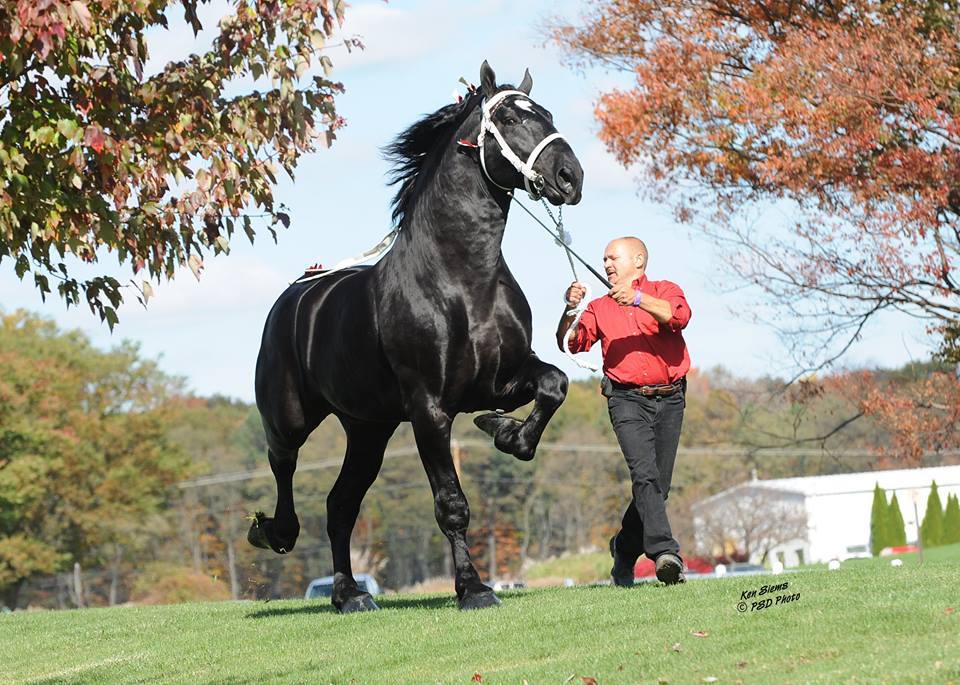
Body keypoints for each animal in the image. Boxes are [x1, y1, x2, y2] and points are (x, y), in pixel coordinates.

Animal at [251, 62, 580, 608]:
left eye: (549, 113)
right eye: (510, 118)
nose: (570, 177)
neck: (461, 281)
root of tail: (295, 297)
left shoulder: (502, 381)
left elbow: (555, 385)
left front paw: (505, 433)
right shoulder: (430, 409)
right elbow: (451, 504)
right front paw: (473, 589)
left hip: (368, 429)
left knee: (340, 505)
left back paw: (349, 595)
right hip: (291, 416)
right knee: (283, 461)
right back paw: (273, 532)